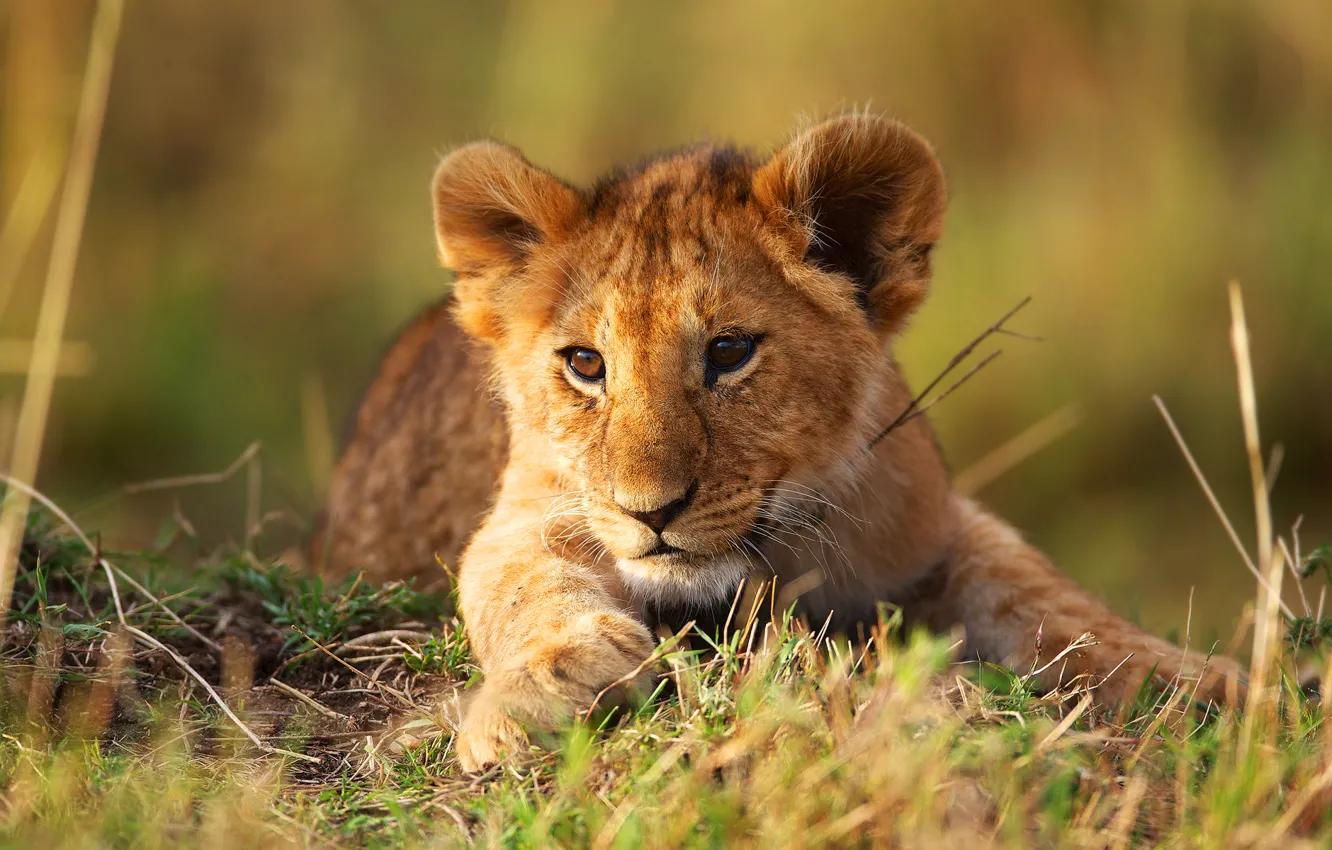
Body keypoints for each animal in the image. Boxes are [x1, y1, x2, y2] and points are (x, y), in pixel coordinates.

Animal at [314, 114, 1246, 770]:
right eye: (585, 364)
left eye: (730, 352)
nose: (651, 512)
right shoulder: (530, 509)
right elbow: (522, 584)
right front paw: (537, 694)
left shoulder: (935, 525)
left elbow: (1049, 596)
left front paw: (1203, 680)